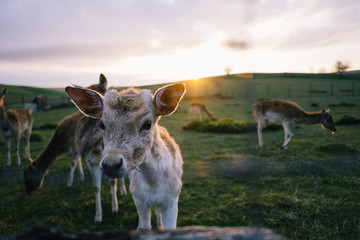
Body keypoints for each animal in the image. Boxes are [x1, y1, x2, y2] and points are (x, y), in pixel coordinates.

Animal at [65, 83, 187, 230]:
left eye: (147, 124)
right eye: (102, 124)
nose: (111, 165)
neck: (154, 185)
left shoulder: (172, 199)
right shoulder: (139, 199)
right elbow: (145, 227)